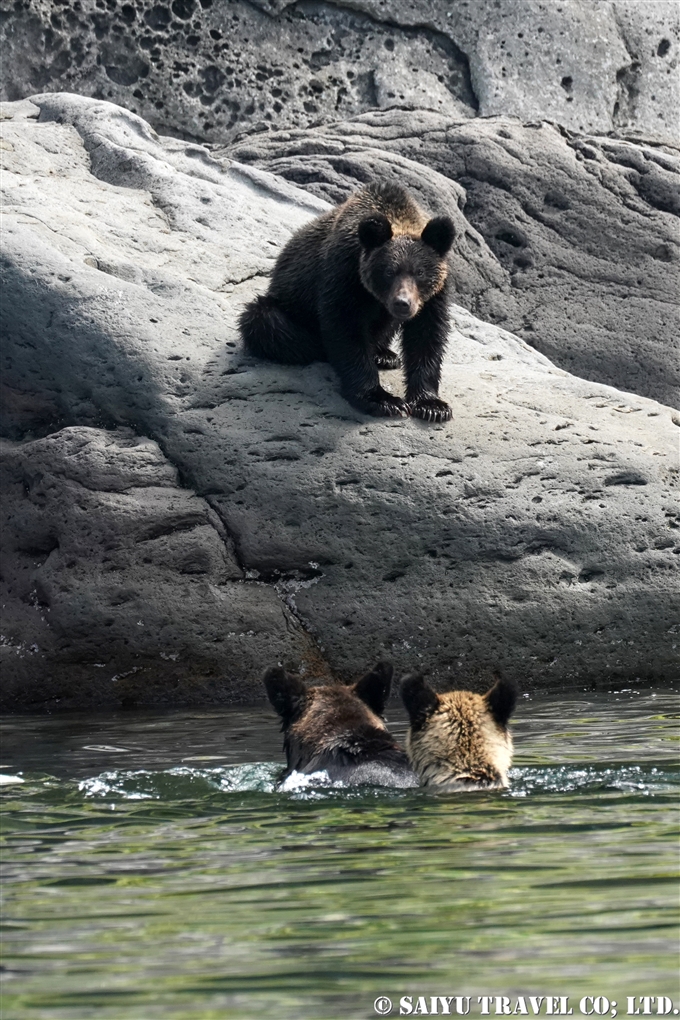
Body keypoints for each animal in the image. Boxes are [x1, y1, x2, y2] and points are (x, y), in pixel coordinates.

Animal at [239, 182, 456, 422]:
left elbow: (427, 336)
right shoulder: (344, 274)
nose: (402, 303)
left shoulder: (435, 295)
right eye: (388, 272)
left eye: (420, 272)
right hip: (286, 305)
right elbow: (346, 330)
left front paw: (432, 406)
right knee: (265, 321)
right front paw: (383, 400)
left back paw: (385, 355)